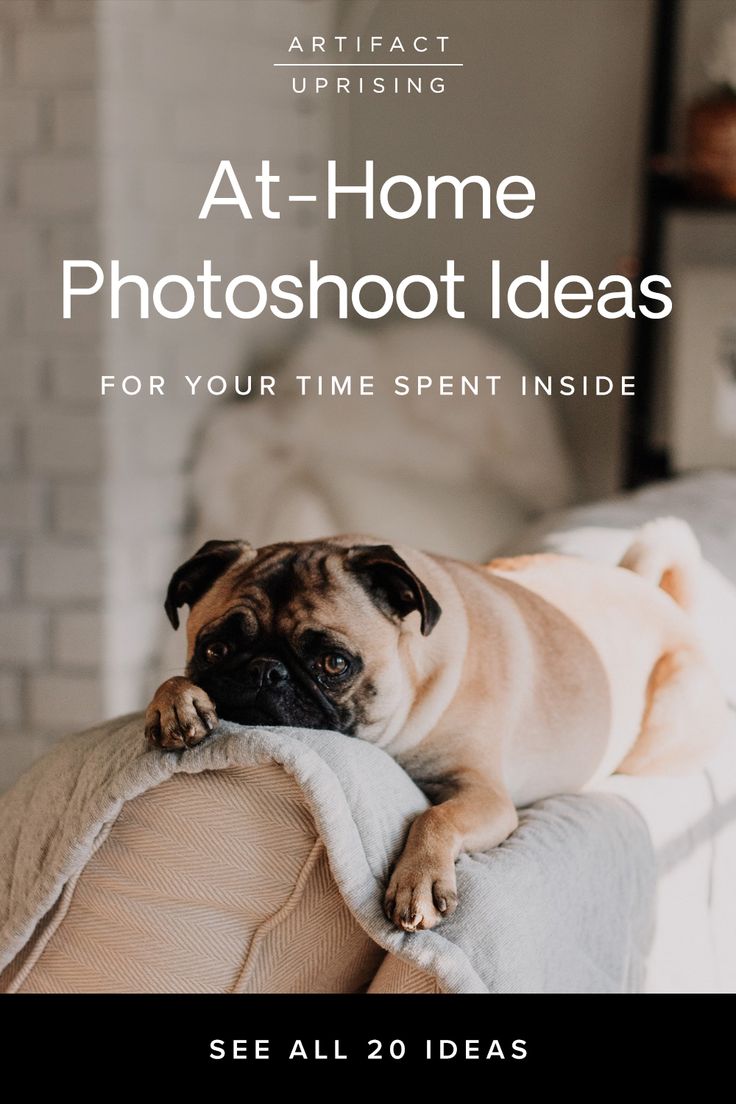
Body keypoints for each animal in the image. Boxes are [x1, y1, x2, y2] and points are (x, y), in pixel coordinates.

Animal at [146, 523, 728, 931]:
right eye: (215, 649)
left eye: (334, 663)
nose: (266, 672)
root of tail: (660, 598)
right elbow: (173, 681)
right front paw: (175, 702)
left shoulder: (486, 796)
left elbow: (435, 817)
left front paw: (418, 881)